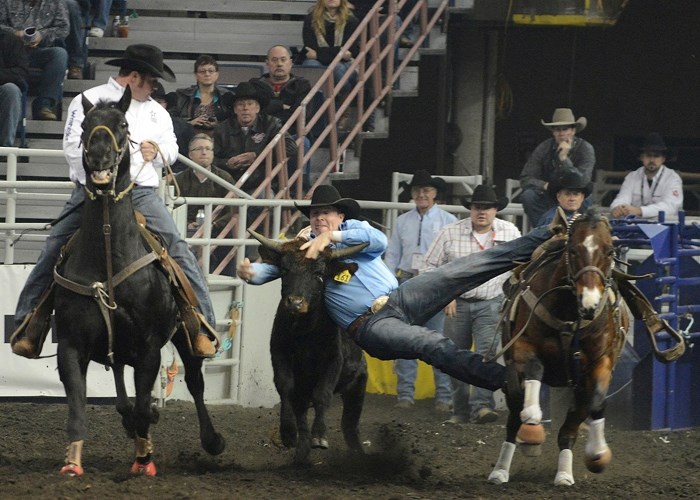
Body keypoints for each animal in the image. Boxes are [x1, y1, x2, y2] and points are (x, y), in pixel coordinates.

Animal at [53, 86, 226, 476]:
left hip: (185, 335)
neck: (108, 253)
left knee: (195, 382)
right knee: (120, 382)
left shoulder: (149, 347)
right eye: (84, 124)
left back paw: (211, 440)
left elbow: (148, 403)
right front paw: (72, 461)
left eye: (122, 124)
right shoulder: (71, 342)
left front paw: (144, 459)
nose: (99, 155)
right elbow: (76, 406)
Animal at [492, 211, 628, 484]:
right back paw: (501, 470)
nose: (590, 303)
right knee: (513, 421)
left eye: (609, 251)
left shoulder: (601, 361)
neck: (569, 314)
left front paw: (598, 453)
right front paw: (532, 420)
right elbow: (534, 373)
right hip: (512, 382)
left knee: (569, 430)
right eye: (573, 250)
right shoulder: (523, 346)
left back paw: (564, 474)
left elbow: (597, 403)